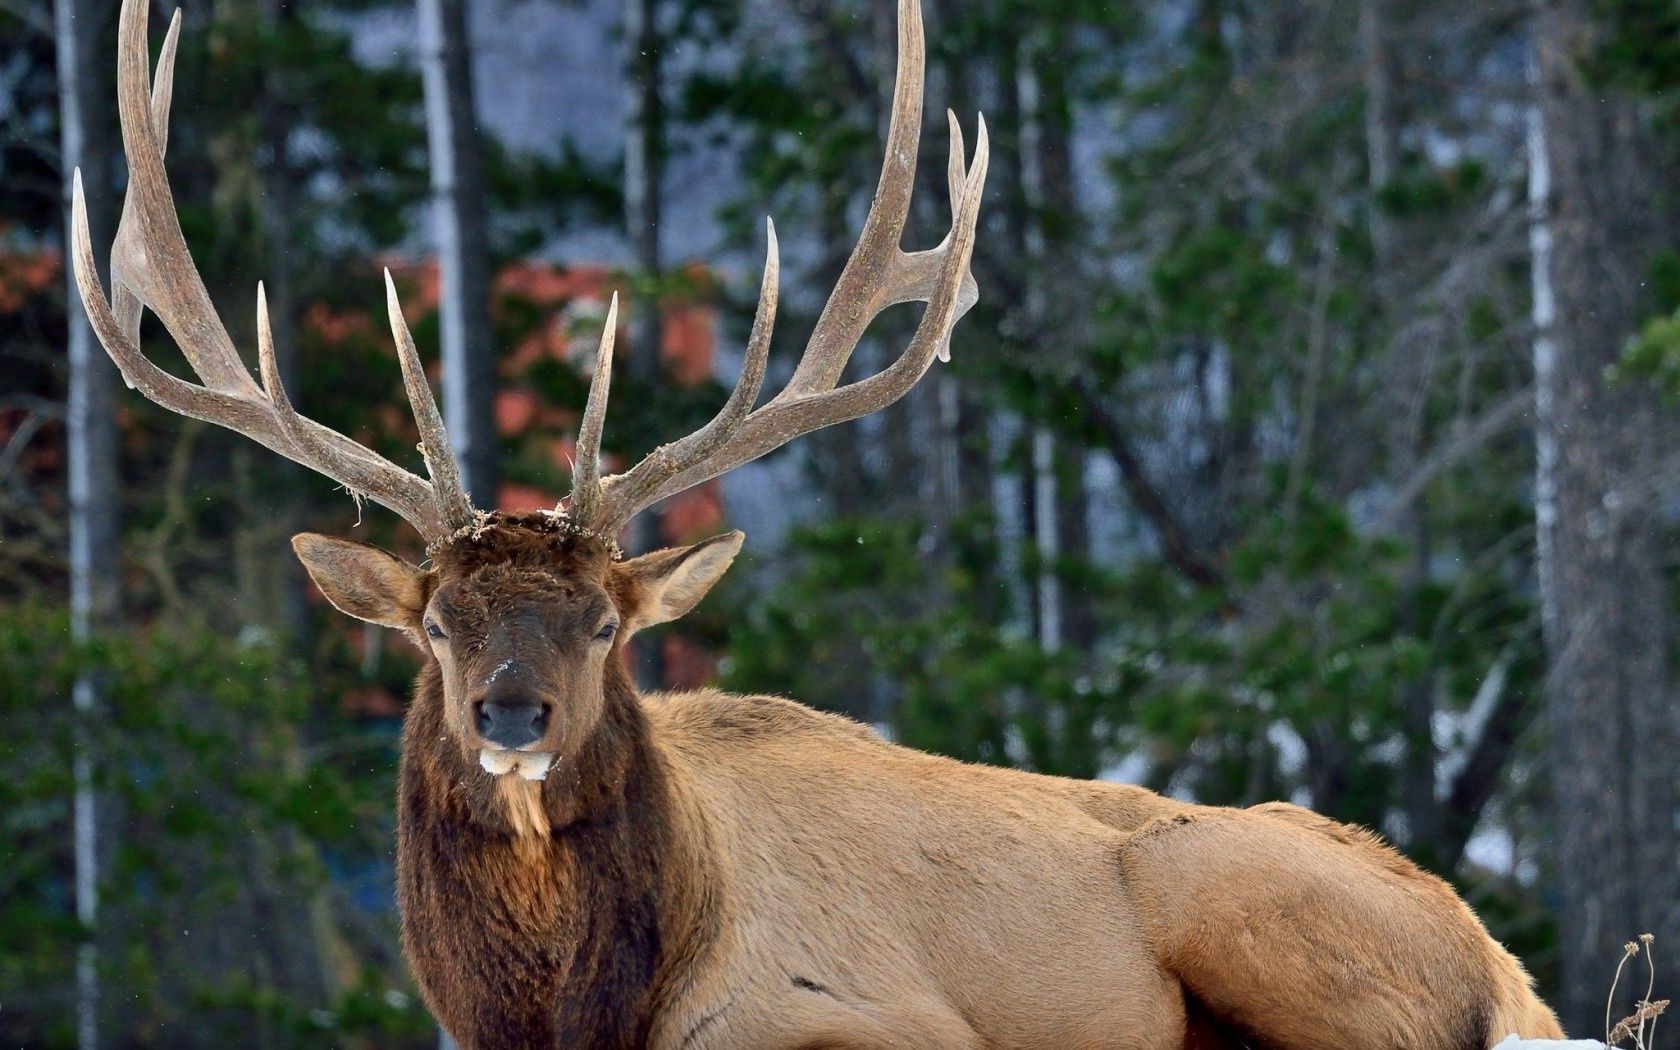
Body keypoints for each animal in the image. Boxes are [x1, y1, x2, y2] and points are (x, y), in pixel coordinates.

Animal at [65, 0, 1559, 1041]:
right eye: (436, 625)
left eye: (605, 623)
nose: (510, 710)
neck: (575, 1013)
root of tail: (1506, 967)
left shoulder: (872, 1016)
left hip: (1238, 898)